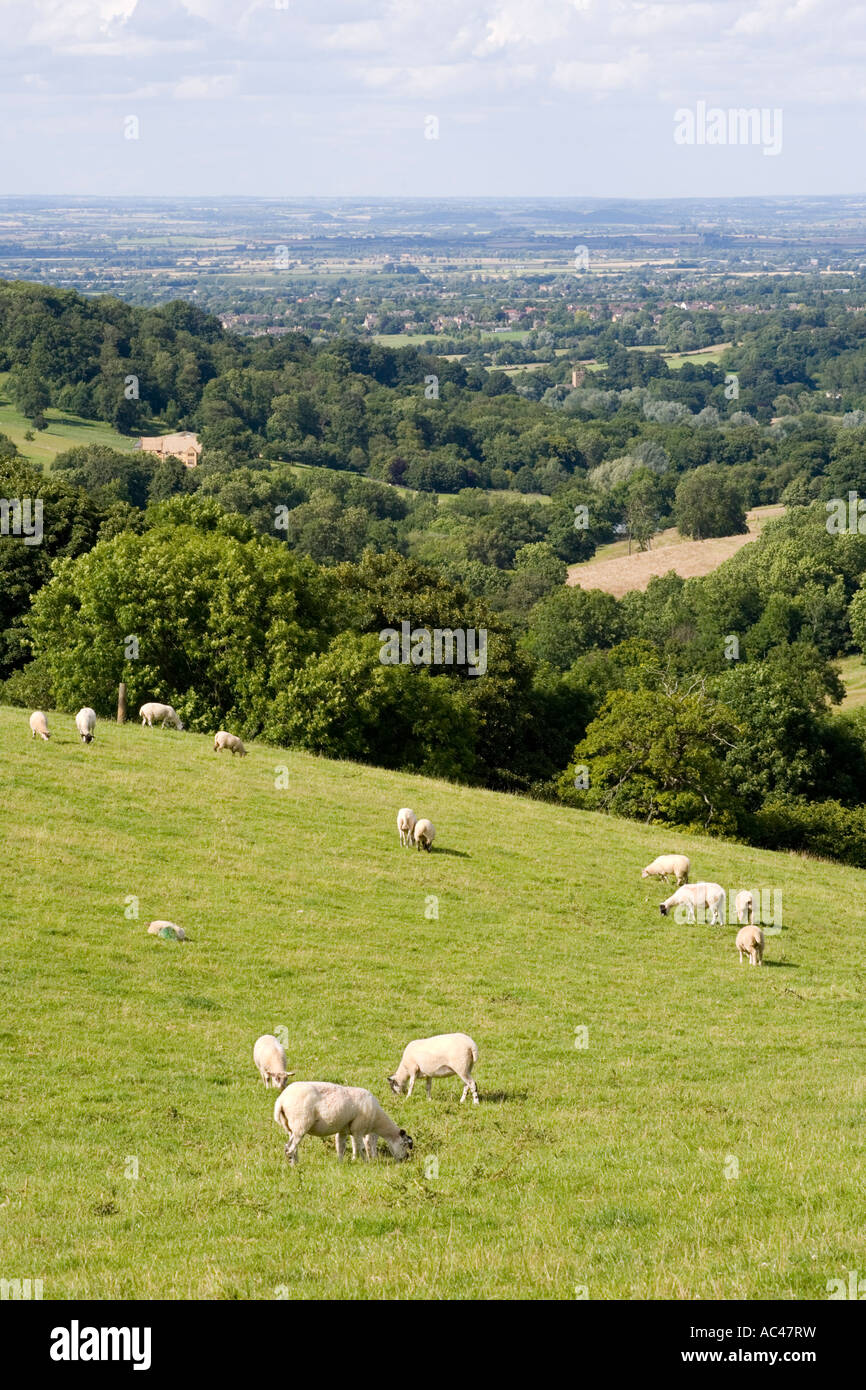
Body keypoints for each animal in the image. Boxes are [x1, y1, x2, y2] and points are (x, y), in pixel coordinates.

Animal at [276, 1078, 414, 1167]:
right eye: (404, 1144)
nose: (404, 1159)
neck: (376, 1120)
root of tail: (281, 1100)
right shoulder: (358, 1128)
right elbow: (360, 1147)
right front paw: (366, 1163)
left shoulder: (344, 1130)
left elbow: (342, 1147)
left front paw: (342, 1163)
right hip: (301, 1124)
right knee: (290, 1148)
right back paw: (294, 1166)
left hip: (291, 1128)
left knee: (291, 1147)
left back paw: (295, 1162)